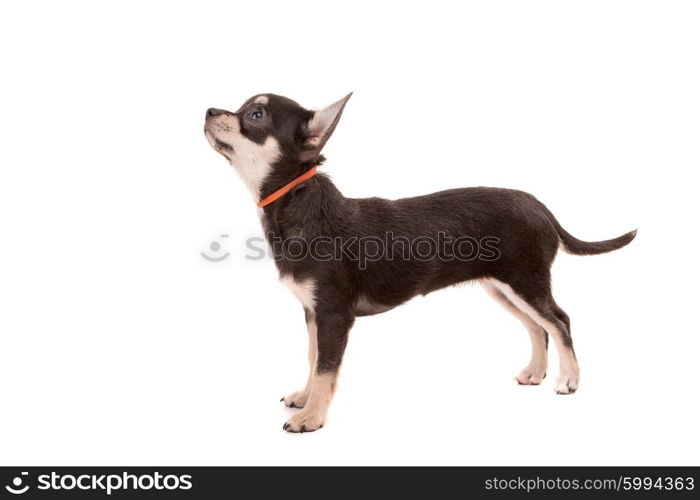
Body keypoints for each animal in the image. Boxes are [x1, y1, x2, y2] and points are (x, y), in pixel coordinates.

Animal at [202, 94, 636, 434]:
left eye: (255, 115)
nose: (208, 110)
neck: (296, 202)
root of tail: (542, 208)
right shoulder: (312, 312)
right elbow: (313, 358)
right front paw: (305, 398)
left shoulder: (333, 313)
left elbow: (326, 365)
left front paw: (311, 417)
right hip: (503, 288)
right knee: (537, 326)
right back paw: (536, 373)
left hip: (525, 281)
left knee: (559, 321)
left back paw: (568, 380)